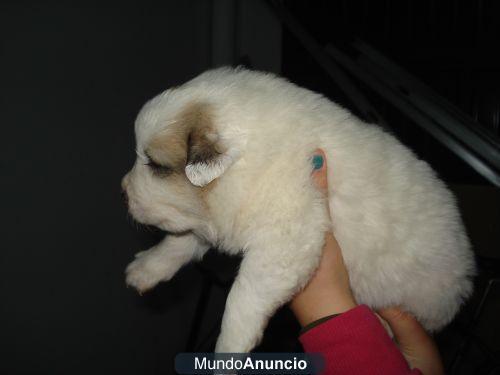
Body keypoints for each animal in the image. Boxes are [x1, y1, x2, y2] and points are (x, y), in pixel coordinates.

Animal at [122, 67, 476, 352]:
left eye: (155, 165)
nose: (122, 190)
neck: (251, 161)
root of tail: (465, 273)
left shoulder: (286, 241)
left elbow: (243, 295)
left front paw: (229, 349)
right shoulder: (216, 216)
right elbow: (182, 240)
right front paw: (147, 267)